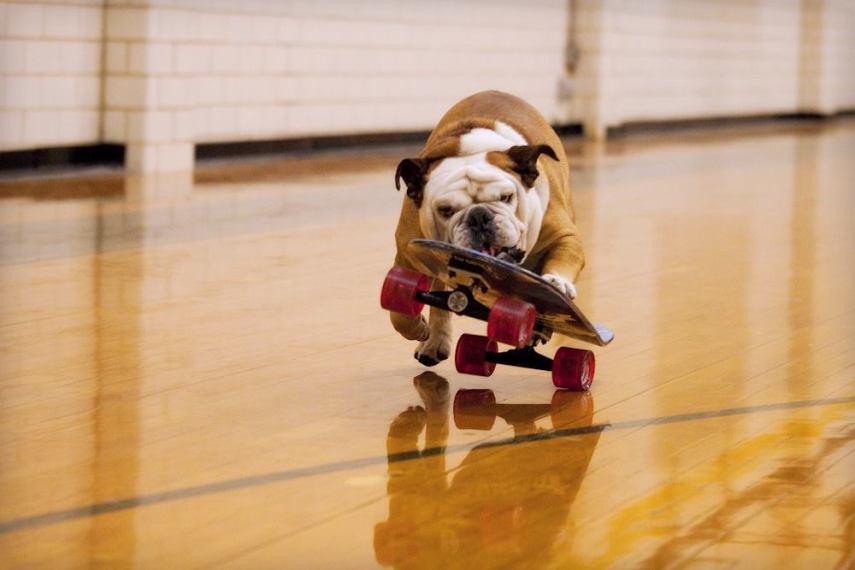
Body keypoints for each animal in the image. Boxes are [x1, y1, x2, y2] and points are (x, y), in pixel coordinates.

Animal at [392, 89, 580, 364]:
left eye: (506, 197)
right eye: (445, 210)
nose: (479, 216)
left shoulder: (564, 235)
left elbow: (564, 257)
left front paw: (557, 283)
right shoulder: (408, 254)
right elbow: (399, 312)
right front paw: (418, 329)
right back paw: (435, 340)